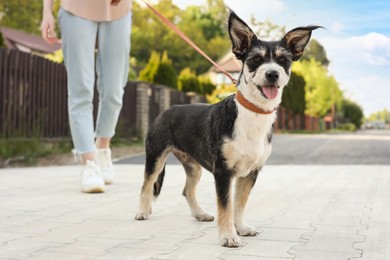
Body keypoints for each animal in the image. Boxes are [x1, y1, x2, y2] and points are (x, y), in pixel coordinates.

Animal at [134, 9, 320, 247]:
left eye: (283, 60)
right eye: (255, 59)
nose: (272, 74)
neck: (252, 114)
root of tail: (165, 111)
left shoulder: (250, 172)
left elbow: (239, 204)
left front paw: (242, 228)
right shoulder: (223, 171)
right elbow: (225, 206)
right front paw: (228, 236)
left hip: (193, 165)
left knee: (187, 190)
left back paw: (200, 214)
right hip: (156, 155)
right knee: (147, 184)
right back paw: (142, 211)